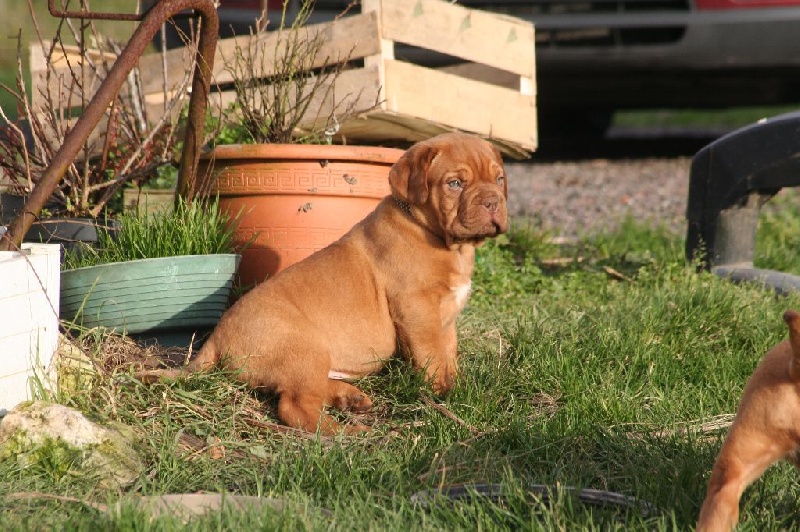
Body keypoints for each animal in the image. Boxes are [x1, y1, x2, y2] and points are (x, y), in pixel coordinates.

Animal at [140, 132, 508, 434]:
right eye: (454, 184)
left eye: (499, 178)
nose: (493, 202)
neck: (446, 243)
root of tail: (216, 338)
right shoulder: (418, 311)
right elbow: (432, 357)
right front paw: (441, 393)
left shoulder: (445, 319)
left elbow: (449, 353)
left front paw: (458, 388)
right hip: (306, 349)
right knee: (295, 406)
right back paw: (342, 432)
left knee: (309, 391)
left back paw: (349, 399)